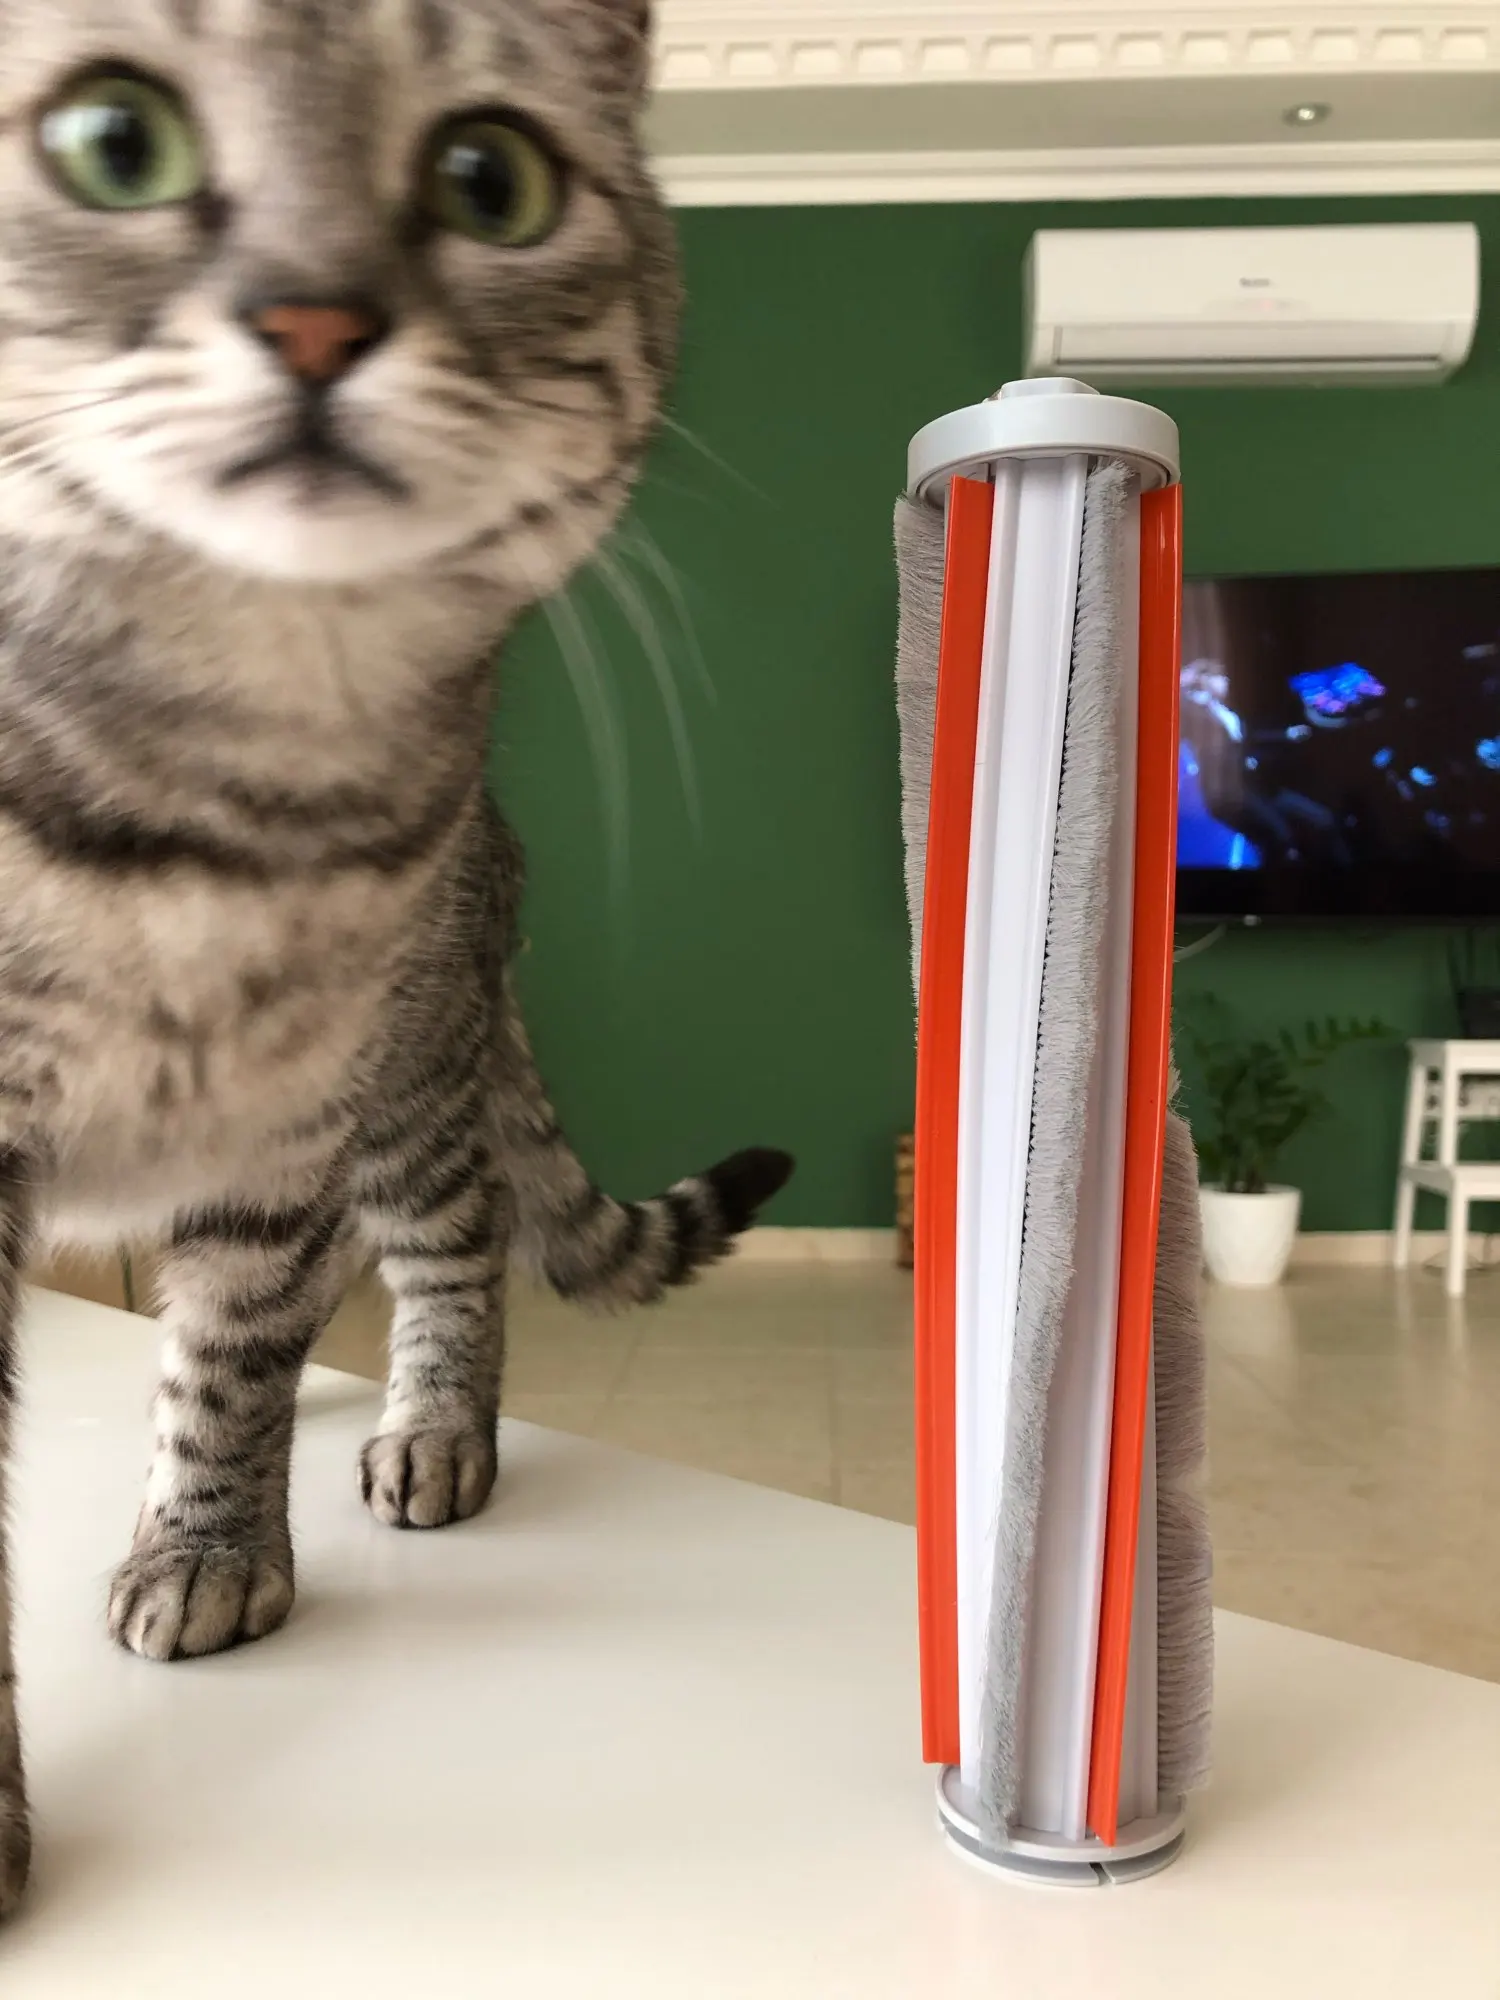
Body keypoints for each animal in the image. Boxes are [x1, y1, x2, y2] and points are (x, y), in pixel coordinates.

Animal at [0, 0, 793, 1914]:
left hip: (410, 1089)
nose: (314, 316)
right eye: (112, 143)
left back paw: (434, 1429)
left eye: (485, 179)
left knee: (455, 1253)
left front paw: (208, 1551)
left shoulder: (280, 1132)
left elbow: (229, 1365)